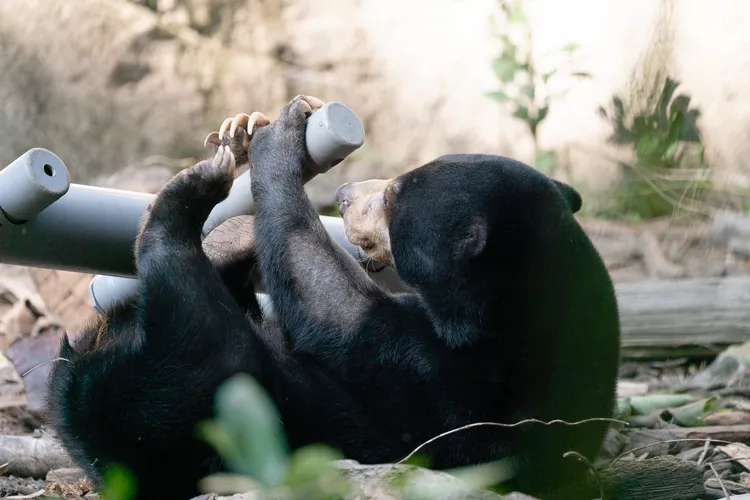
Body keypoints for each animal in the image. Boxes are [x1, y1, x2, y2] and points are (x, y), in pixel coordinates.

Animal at [46, 95, 620, 500]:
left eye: (392, 196)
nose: (344, 196)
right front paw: (245, 135)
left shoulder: (448, 381)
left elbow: (331, 307)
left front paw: (277, 146)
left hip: (208, 404)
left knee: (192, 319)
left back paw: (190, 195)